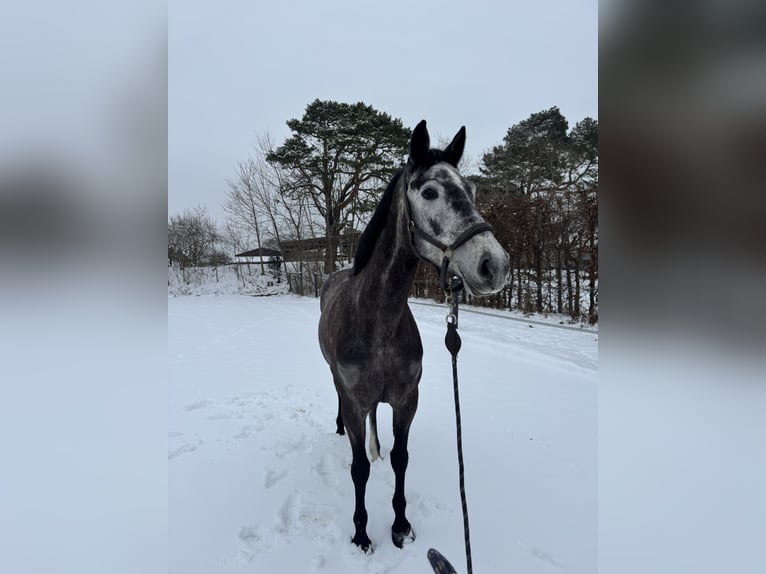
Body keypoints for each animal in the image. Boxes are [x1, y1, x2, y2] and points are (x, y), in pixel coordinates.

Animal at [318, 120, 510, 553]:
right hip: (337, 382)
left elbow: (401, 458)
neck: (377, 320)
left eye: (471, 188)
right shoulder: (355, 401)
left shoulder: (407, 400)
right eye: (429, 192)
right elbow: (358, 468)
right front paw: (361, 533)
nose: (495, 265)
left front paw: (400, 525)